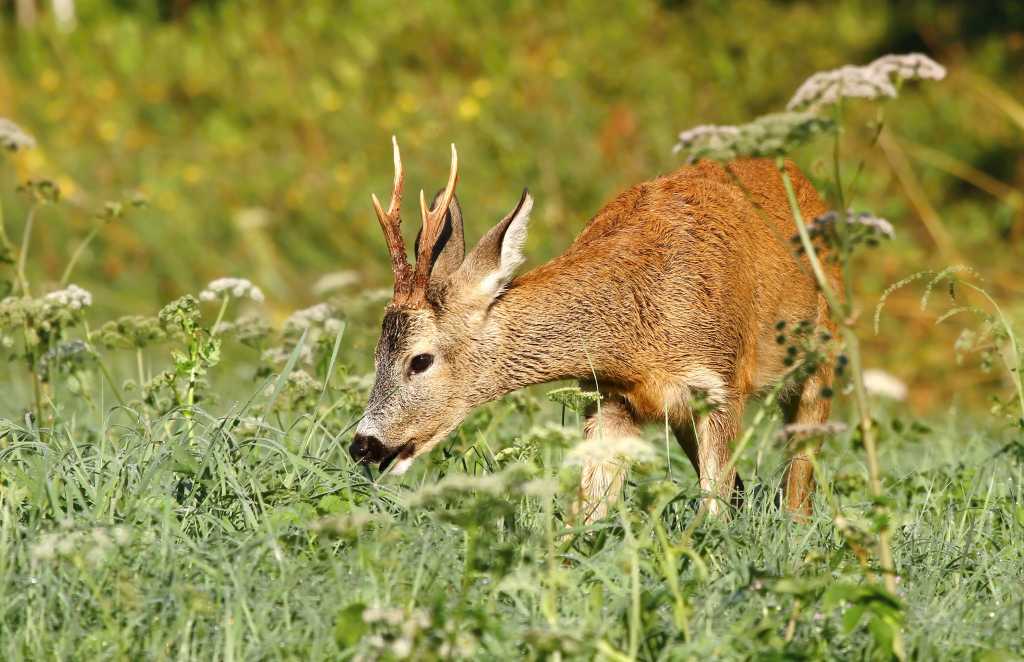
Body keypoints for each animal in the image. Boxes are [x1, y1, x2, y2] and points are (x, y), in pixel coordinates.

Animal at [348, 138, 835, 524]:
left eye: (420, 360)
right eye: (375, 354)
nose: (363, 445)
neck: (638, 338)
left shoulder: (720, 385)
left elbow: (712, 510)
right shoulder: (606, 397)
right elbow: (587, 514)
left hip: (823, 354)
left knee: (799, 479)